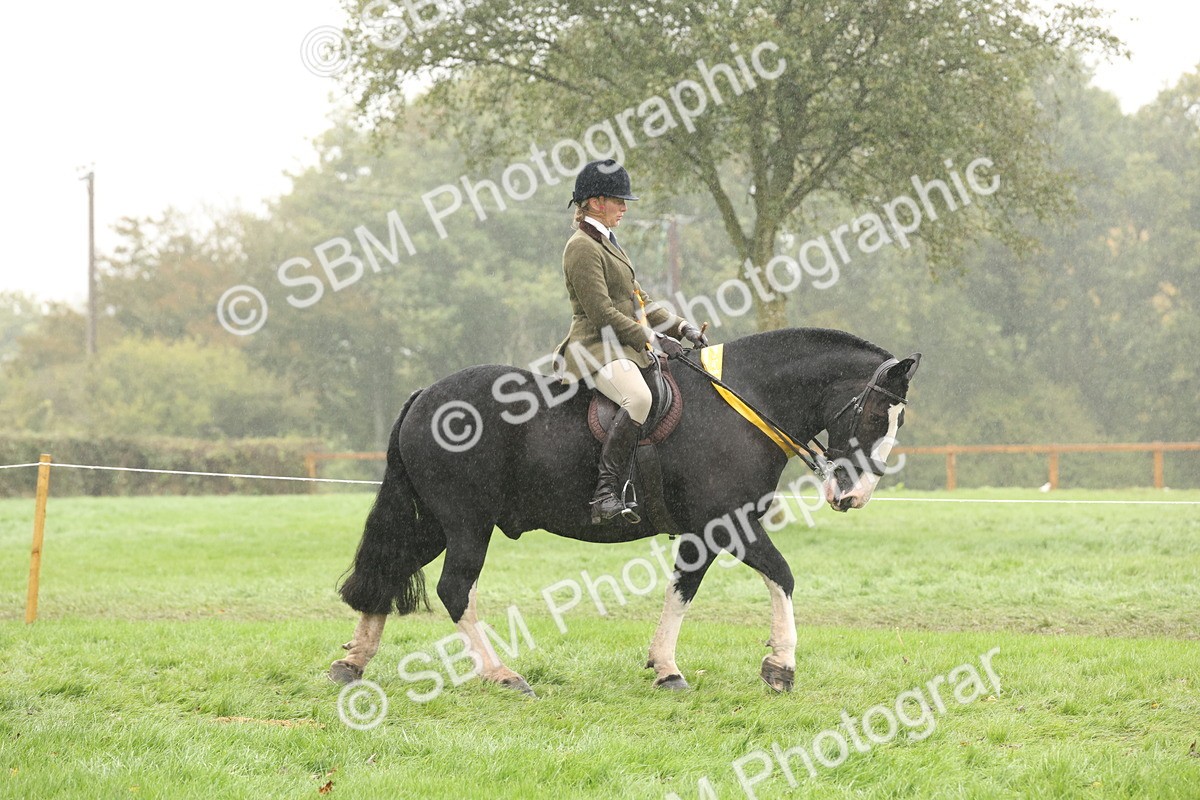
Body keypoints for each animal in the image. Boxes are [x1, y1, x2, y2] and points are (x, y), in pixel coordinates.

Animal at [329, 327, 920, 696]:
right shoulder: (729, 524)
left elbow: (681, 592)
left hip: (435, 524)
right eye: (876, 416)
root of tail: (426, 394)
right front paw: (781, 667)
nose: (855, 495)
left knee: (389, 570)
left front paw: (665, 669)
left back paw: (353, 662)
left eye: (897, 421)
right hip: (467, 525)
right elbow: (783, 575)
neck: (743, 403)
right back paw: (501, 675)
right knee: (454, 590)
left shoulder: (701, 535)